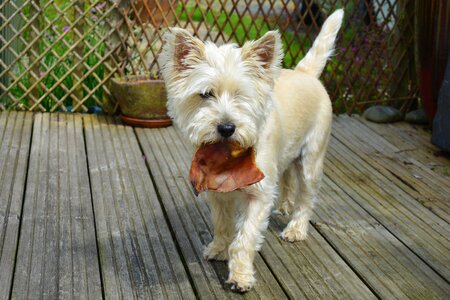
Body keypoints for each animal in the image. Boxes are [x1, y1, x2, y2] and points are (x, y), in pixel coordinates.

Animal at [161, 9, 344, 292]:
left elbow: (245, 238)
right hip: (288, 155)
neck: (228, 157)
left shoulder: (258, 194)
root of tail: (306, 73)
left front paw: (240, 276)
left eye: (241, 95)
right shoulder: (217, 192)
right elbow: (222, 223)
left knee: (306, 196)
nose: (226, 127)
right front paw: (218, 249)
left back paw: (296, 229)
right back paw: (284, 206)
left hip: (311, 159)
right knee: (287, 178)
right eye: (205, 94)